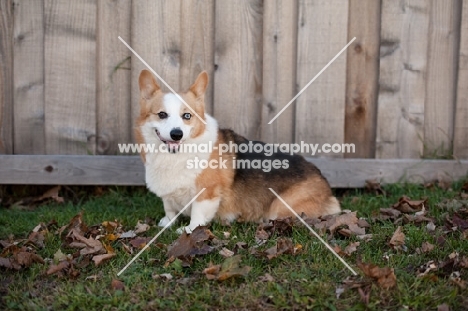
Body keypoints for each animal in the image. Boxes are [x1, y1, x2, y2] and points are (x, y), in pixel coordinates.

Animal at [135, 69, 340, 233]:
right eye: (162, 114)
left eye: (187, 116)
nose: (176, 134)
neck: (177, 155)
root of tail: (328, 189)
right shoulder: (168, 196)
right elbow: (169, 208)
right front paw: (167, 223)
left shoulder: (207, 193)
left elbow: (197, 215)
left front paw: (188, 230)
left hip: (279, 208)